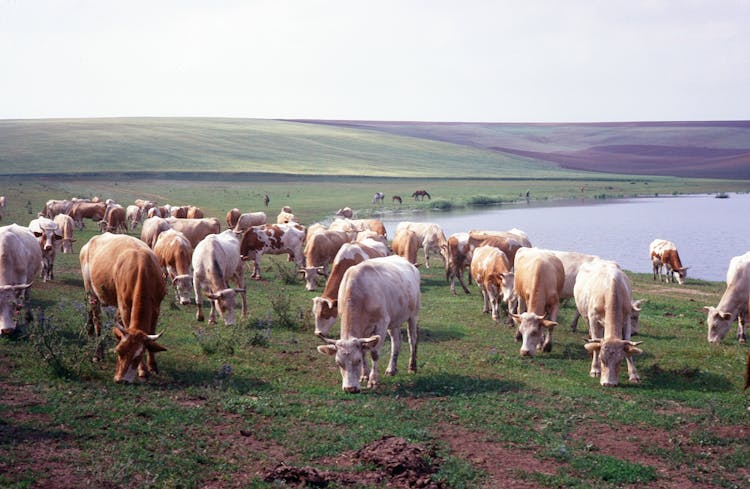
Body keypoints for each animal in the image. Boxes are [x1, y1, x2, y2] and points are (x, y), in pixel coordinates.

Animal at [79, 233, 167, 382]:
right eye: (119, 351)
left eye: (137, 357)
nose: (120, 379)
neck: (142, 267)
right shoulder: (125, 307)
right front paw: (143, 370)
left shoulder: (156, 307)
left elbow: (151, 332)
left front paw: (152, 366)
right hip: (91, 291)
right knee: (97, 320)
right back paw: (97, 353)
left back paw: (89, 329)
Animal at [318, 255, 424, 392]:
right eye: (338, 363)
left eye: (357, 361)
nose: (350, 389)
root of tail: (410, 264)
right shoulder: (363, 331)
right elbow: (364, 352)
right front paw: (364, 375)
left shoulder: (381, 324)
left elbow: (374, 353)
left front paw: (373, 380)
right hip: (394, 320)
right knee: (396, 341)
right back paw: (391, 369)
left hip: (413, 315)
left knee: (413, 339)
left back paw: (412, 367)